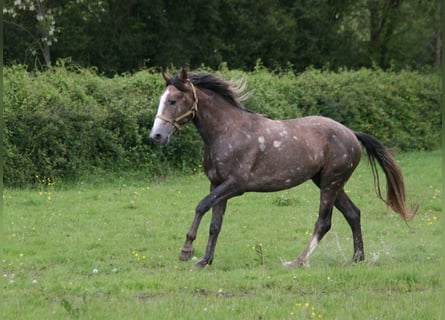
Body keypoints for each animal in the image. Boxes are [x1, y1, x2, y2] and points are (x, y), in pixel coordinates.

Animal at [150, 69, 416, 268]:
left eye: (173, 101)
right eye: (162, 100)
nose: (156, 136)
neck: (227, 131)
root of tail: (351, 133)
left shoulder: (235, 185)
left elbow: (201, 206)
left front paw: (186, 251)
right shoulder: (217, 184)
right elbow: (215, 224)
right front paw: (204, 260)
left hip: (330, 183)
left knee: (324, 222)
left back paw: (297, 261)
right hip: (329, 182)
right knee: (353, 214)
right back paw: (357, 258)